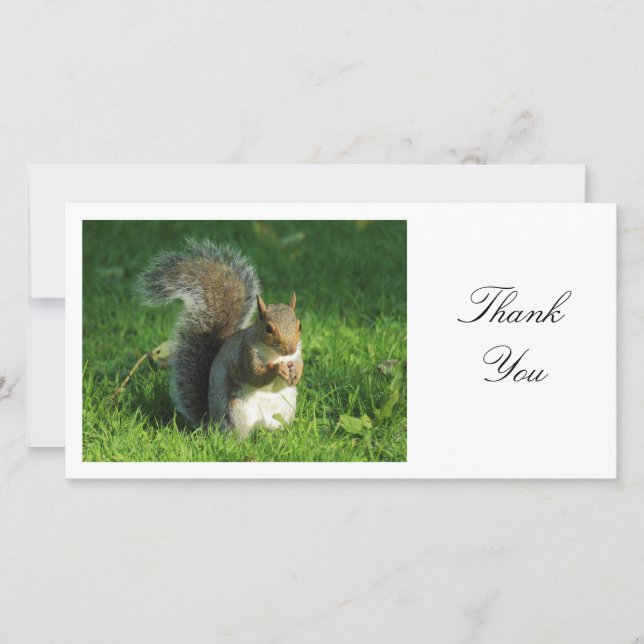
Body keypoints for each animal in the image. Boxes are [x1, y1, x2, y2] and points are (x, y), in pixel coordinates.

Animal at [135, 238, 303, 437]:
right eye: (268, 328)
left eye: (299, 325)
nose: (290, 349)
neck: (275, 354)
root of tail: (212, 425)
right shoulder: (245, 354)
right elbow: (255, 375)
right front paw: (278, 369)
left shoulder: (298, 352)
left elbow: (299, 364)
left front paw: (296, 372)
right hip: (237, 412)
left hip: (284, 410)